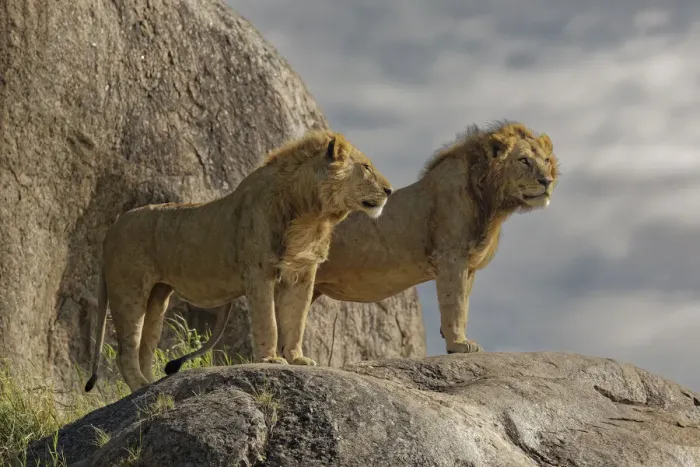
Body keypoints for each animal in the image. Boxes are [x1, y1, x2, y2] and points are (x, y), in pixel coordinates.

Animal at [84, 129, 393, 393]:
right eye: (366, 167)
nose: (389, 191)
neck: (313, 215)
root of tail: (113, 227)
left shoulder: (303, 273)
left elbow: (296, 320)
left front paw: (297, 358)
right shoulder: (259, 270)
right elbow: (268, 320)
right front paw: (271, 359)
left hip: (157, 295)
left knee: (145, 349)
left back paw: (151, 385)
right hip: (129, 289)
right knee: (125, 352)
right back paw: (142, 387)